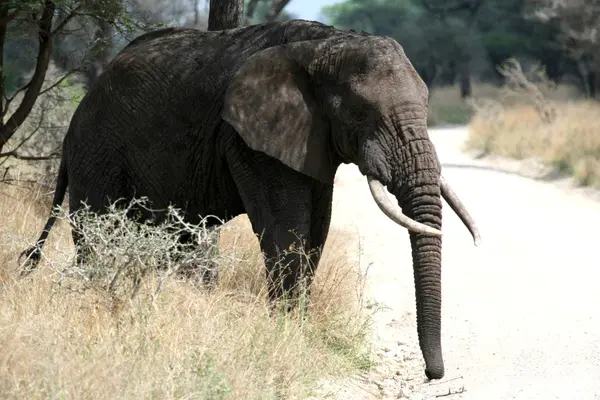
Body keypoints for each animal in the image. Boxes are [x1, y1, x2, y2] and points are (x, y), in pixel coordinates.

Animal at [22, 19, 478, 382]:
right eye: (360, 113)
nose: (433, 374)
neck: (326, 44)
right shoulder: (248, 140)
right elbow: (286, 227)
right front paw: (289, 333)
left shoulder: (309, 137)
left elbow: (317, 229)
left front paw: (296, 328)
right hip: (97, 152)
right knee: (100, 237)